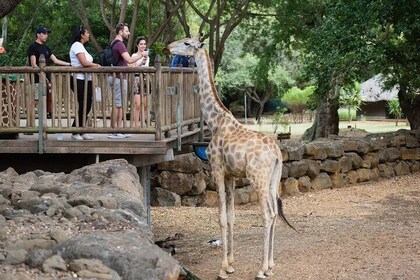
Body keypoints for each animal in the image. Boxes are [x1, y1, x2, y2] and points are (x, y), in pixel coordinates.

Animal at [164, 37, 296, 280]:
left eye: (186, 43)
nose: (167, 47)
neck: (215, 121)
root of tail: (276, 153)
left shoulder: (216, 169)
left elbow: (221, 217)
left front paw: (222, 269)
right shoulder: (231, 175)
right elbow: (232, 216)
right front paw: (231, 263)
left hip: (258, 178)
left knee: (268, 214)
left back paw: (261, 269)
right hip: (274, 179)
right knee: (275, 213)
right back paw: (271, 265)